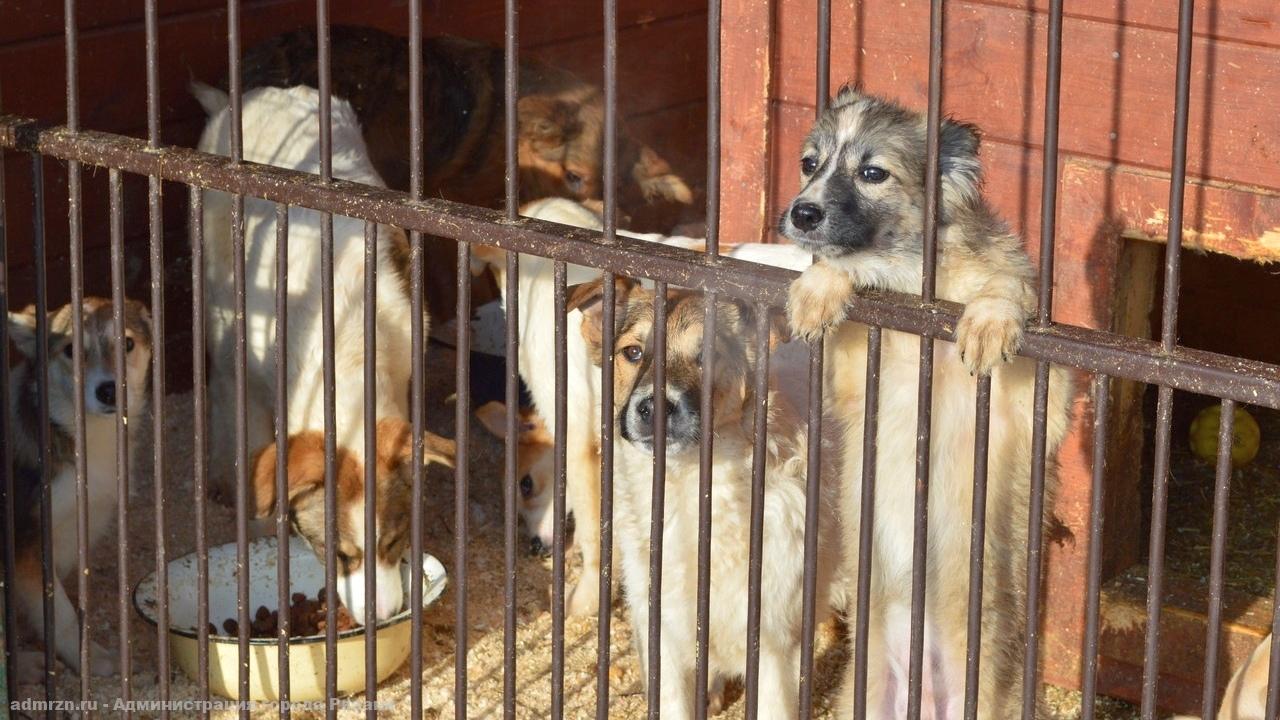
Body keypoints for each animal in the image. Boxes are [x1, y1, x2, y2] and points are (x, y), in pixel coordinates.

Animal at [6, 297, 152, 680]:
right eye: (71, 350)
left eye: (127, 343)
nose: (109, 390)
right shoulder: (27, 545)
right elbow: (64, 618)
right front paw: (92, 659)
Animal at [780, 87, 1074, 718]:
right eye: (809, 164)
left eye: (873, 173)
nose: (802, 214)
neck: (915, 285)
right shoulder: (851, 381)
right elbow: (840, 279)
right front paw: (820, 287)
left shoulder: (1039, 403)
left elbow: (1008, 292)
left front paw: (989, 319)